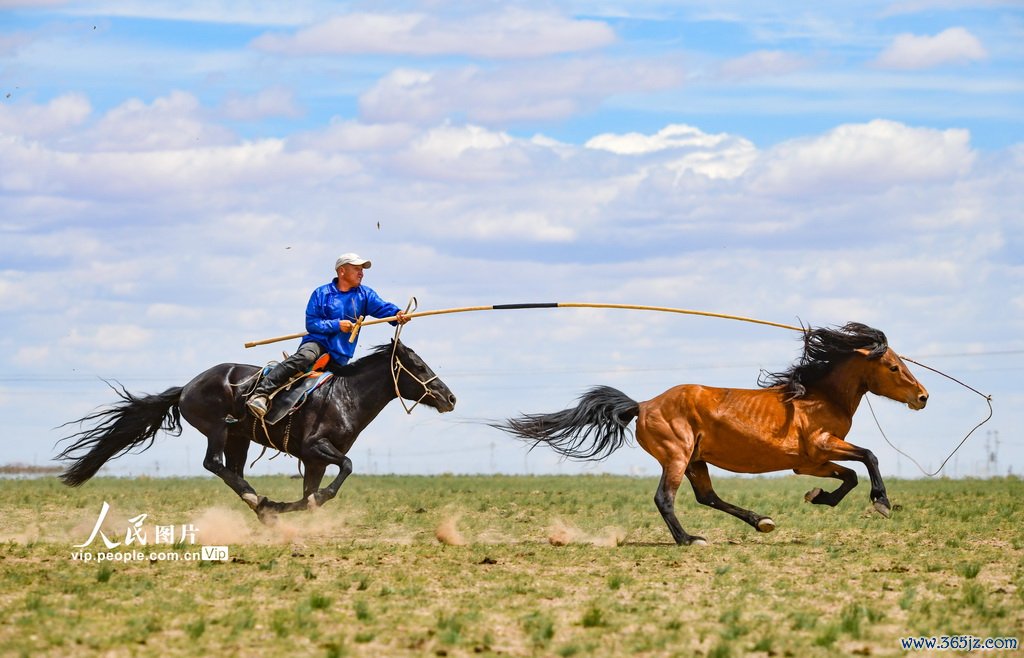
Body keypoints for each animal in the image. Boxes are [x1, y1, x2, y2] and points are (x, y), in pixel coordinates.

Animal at [57, 341, 456, 522]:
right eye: (419, 366)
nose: (450, 397)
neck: (344, 396)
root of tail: (187, 387)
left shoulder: (314, 461)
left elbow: (312, 491)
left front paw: (292, 505)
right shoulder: (316, 448)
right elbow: (346, 467)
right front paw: (295, 503)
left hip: (240, 438)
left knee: (231, 469)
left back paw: (264, 506)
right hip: (218, 429)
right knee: (214, 465)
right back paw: (258, 502)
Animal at [497, 322, 928, 545]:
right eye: (893, 366)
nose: (923, 396)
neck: (816, 396)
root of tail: (643, 405)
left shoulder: (812, 463)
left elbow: (850, 475)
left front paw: (820, 497)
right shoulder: (820, 447)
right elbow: (869, 456)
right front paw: (881, 502)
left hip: (695, 460)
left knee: (707, 496)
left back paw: (761, 521)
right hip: (676, 456)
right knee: (665, 499)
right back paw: (689, 540)